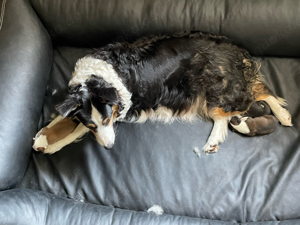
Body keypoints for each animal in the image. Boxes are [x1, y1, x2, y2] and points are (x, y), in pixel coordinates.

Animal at [32, 30, 290, 154]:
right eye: (93, 124)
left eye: (105, 121)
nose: (109, 148)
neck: (97, 79)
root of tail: (234, 49)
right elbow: (65, 119)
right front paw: (43, 136)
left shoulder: (118, 111)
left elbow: (75, 131)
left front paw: (51, 145)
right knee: (243, 101)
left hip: (214, 88)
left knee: (251, 95)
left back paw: (282, 115)